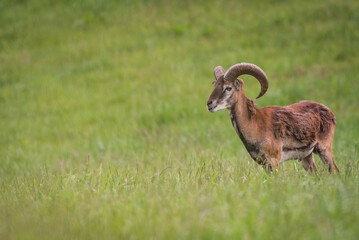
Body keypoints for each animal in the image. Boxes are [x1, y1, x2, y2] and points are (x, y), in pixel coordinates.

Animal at [208, 62, 340, 172]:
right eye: (215, 86)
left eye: (228, 88)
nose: (209, 104)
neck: (255, 124)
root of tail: (329, 113)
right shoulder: (264, 163)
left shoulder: (274, 161)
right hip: (307, 156)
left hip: (325, 150)